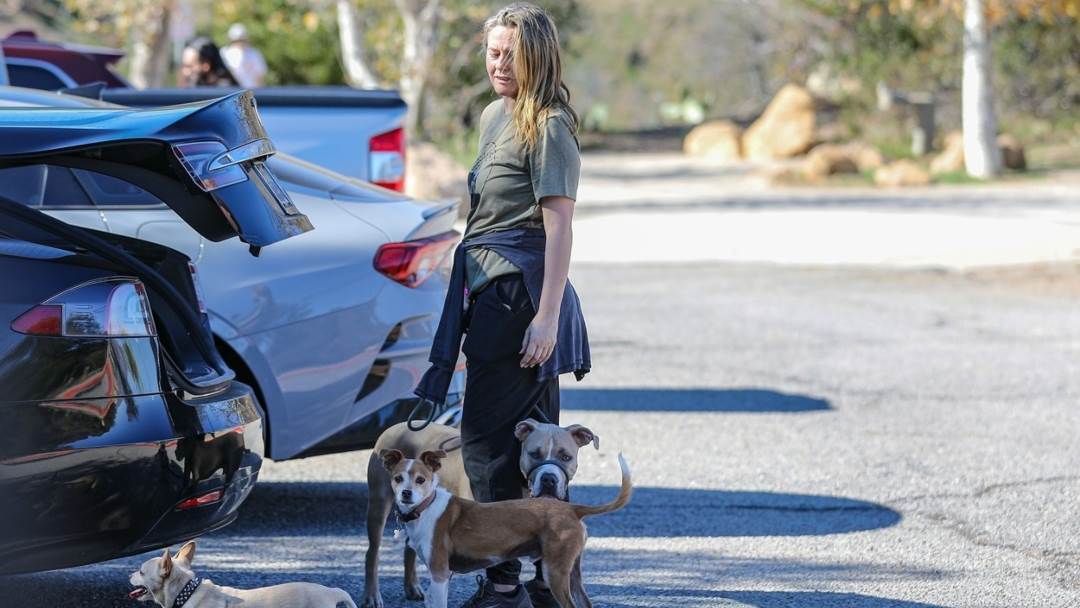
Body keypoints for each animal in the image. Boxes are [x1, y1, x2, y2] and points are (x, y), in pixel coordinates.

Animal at [362, 419, 599, 608]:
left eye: (566, 457)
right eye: (534, 454)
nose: (549, 479)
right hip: (379, 503)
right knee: (372, 553)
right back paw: (375, 595)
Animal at [381, 448, 631, 608]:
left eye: (421, 480)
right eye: (398, 478)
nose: (406, 494)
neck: (426, 507)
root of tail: (571, 508)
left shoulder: (440, 574)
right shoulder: (437, 579)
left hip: (555, 571)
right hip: (572, 572)